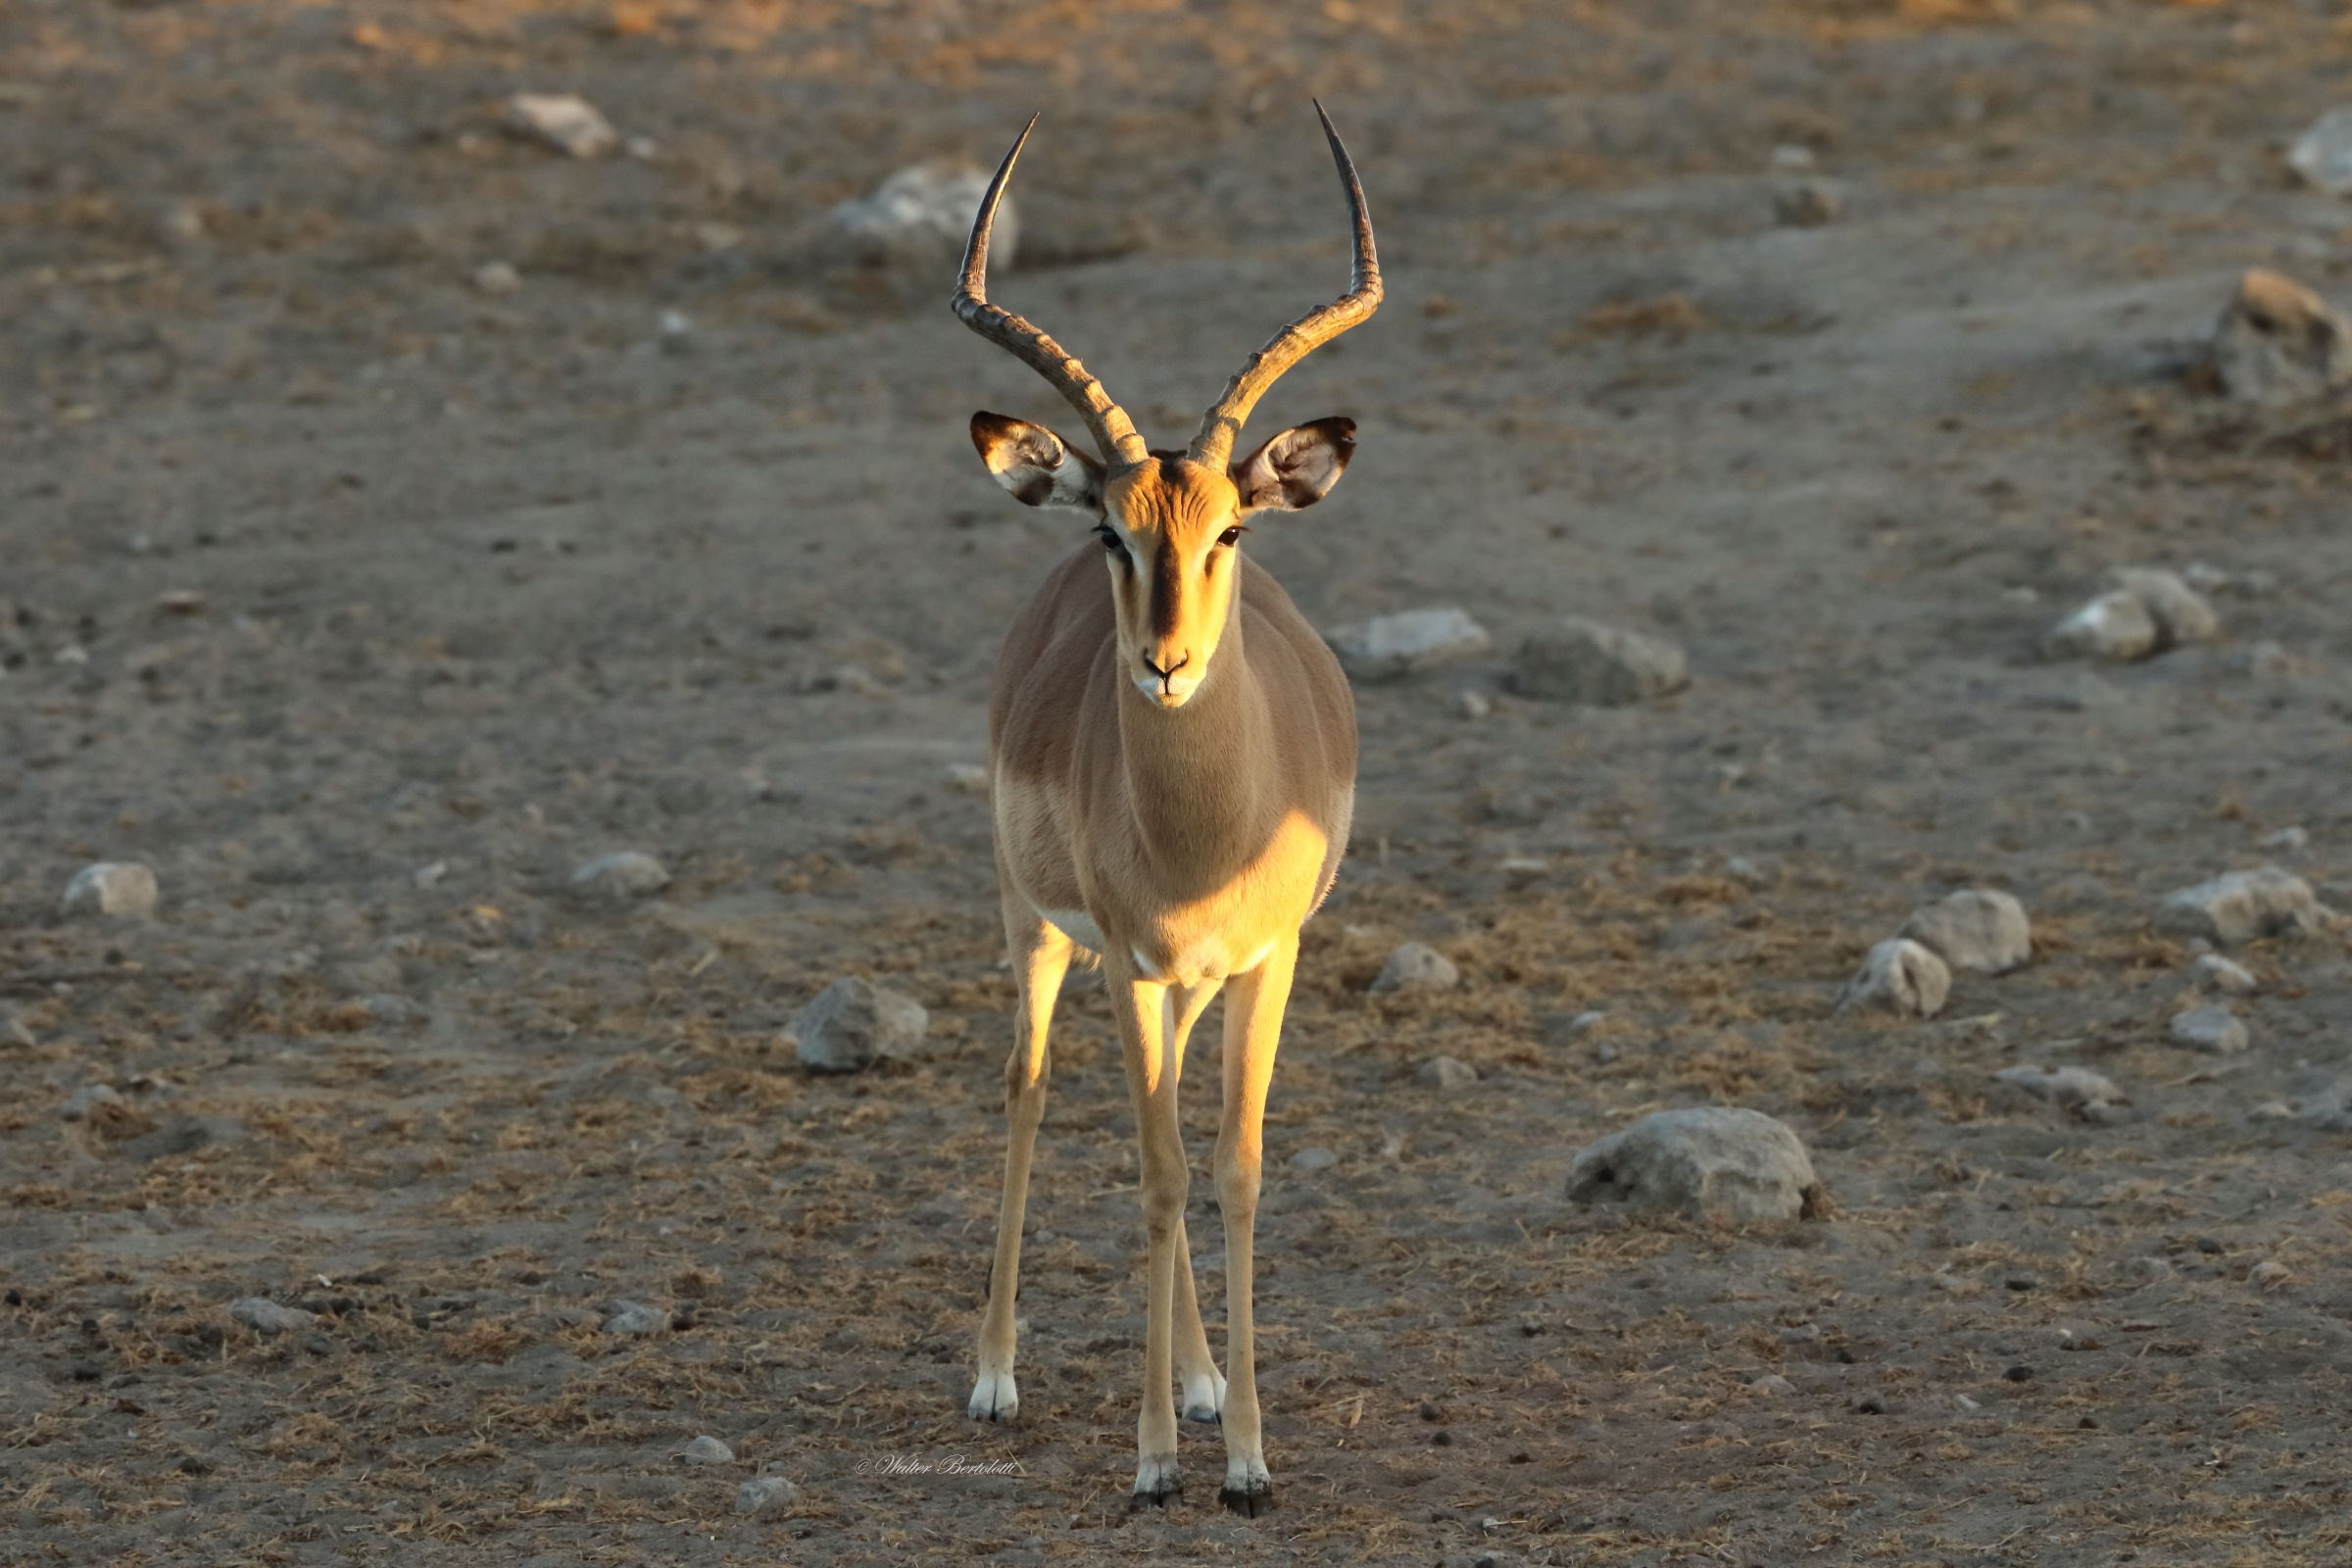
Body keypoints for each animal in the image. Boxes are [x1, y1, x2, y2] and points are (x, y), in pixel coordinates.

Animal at [952, 103, 1380, 1514]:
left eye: (1230, 531)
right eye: (1115, 536)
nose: (1167, 661)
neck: (1209, 830)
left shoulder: (1268, 957)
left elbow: (1230, 1168)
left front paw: (1242, 1451)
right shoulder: (1133, 964)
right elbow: (1153, 1174)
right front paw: (1149, 1460)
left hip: (1186, 980)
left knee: (1179, 1129)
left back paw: (1196, 1382)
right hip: (1036, 927)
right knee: (1030, 1087)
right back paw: (996, 1376)